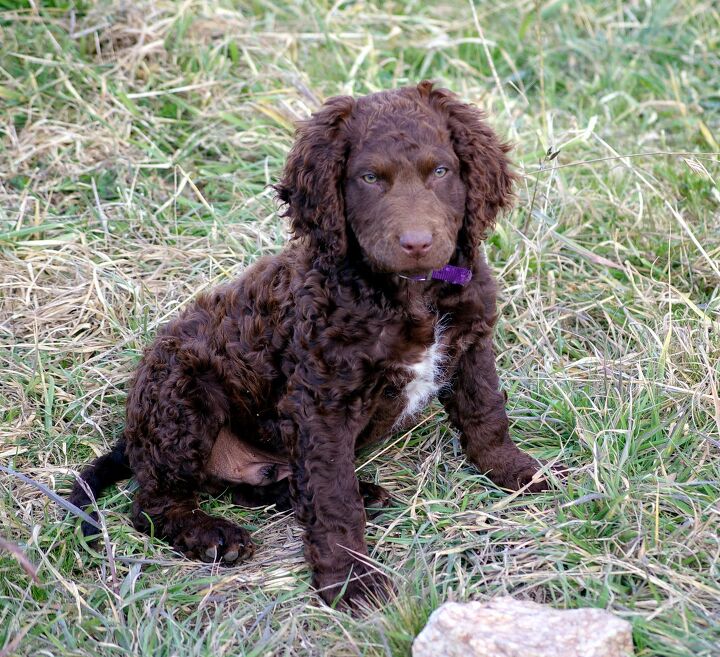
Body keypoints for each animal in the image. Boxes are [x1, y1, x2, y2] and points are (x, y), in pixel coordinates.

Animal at [70, 82, 548, 608]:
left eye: (441, 171)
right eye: (369, 178)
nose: (417, 243)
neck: (407, 294)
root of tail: (132, 436)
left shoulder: (471, 342)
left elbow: (485, 411)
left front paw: (513, 470)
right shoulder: (323, 400)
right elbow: (333, 498)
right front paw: (351, 581)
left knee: (260, 486)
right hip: (182, 400)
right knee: (152, 504)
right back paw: (214, 535)